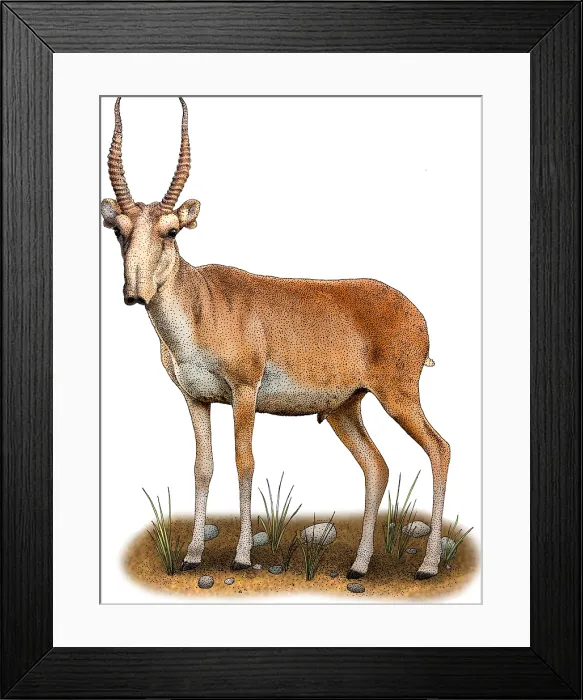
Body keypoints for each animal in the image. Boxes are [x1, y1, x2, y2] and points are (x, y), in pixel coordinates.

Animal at [101, 97, 450, 580]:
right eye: (119, 230)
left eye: (170, 231)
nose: (134, 293)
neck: (203, 302)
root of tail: (416, 314)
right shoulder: (196, 399)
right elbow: (203, 467)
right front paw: (192, 556)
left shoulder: (245, 392)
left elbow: (244, 462)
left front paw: (243, 556)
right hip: (345, 409)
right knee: (377, 466)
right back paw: (359, 567)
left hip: (398, 397)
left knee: (439, 449)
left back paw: (428, 567)